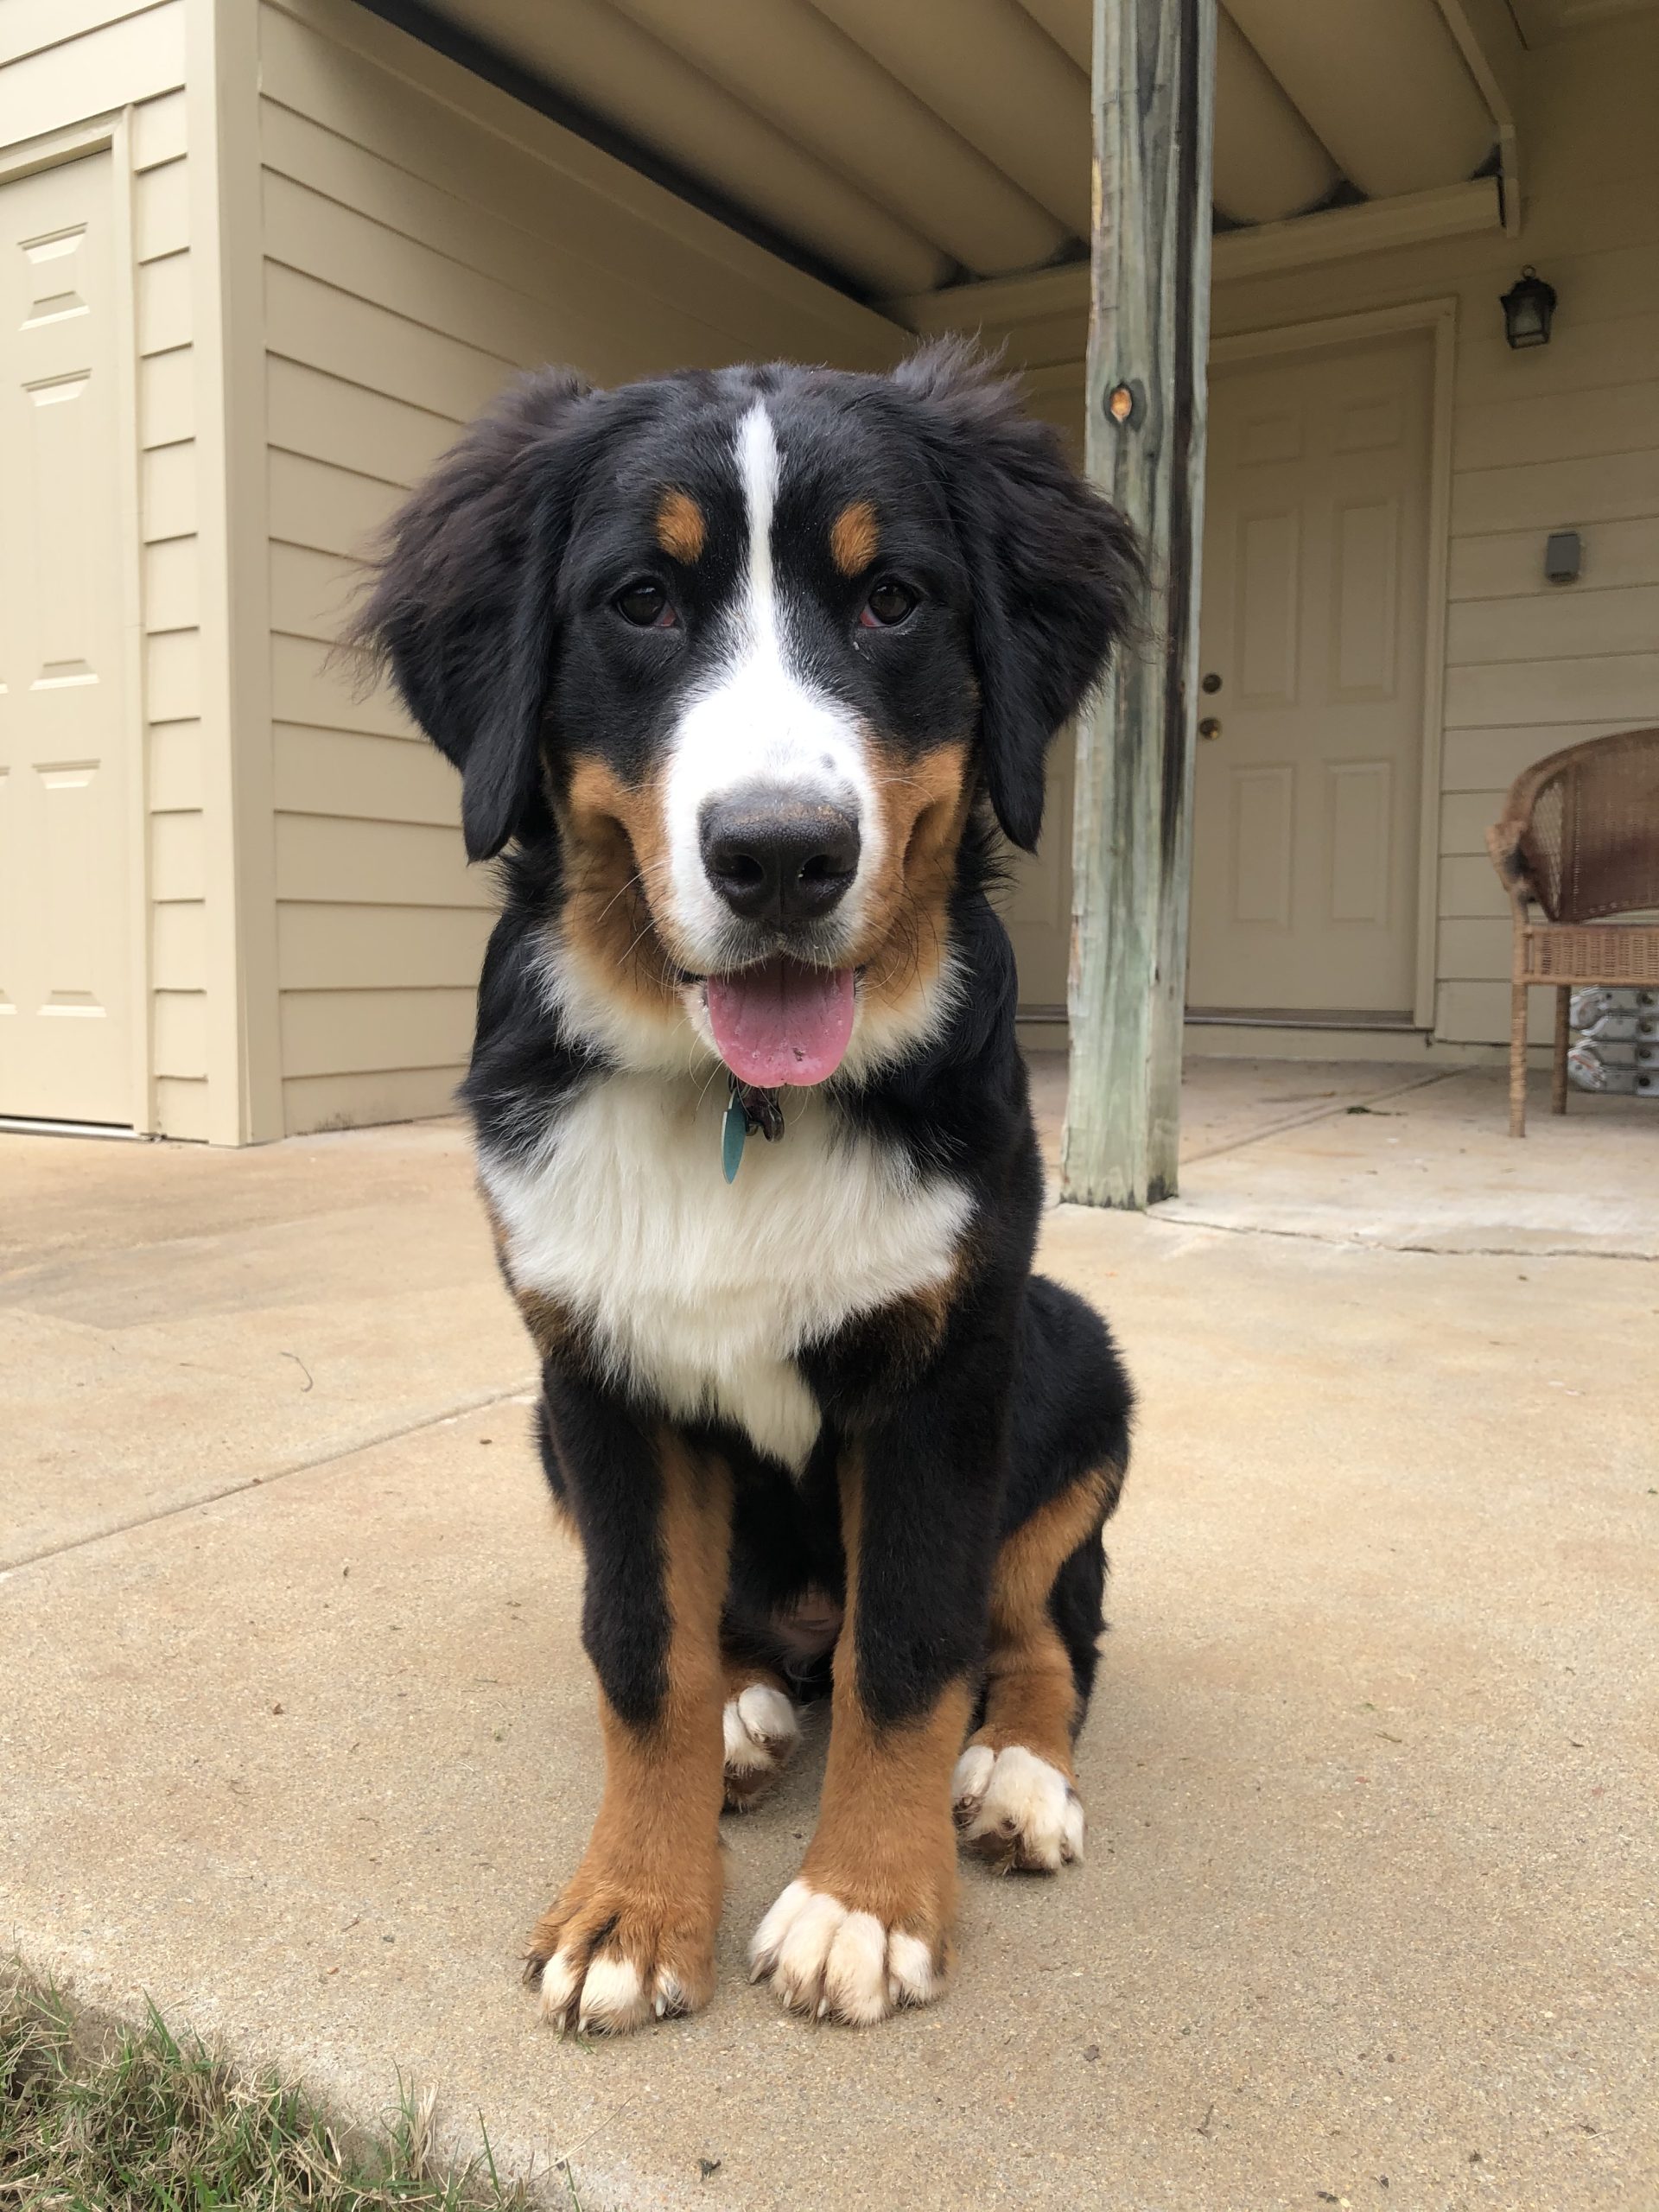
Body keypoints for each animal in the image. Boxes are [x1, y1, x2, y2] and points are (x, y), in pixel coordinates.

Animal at [353, 336, 1141, 2025]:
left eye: (893, 599)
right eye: (643, 600)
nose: (781, 855)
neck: (735, 1104)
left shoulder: (942, 1372)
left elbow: (910, 1650)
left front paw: (863, 1905)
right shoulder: (595, 1373)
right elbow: (638, 1650)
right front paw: (632, 1909)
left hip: (1073, 1356)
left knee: (1043, 1630)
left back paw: (1017, 1775)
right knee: (740, 1647)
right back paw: (745, 1714)